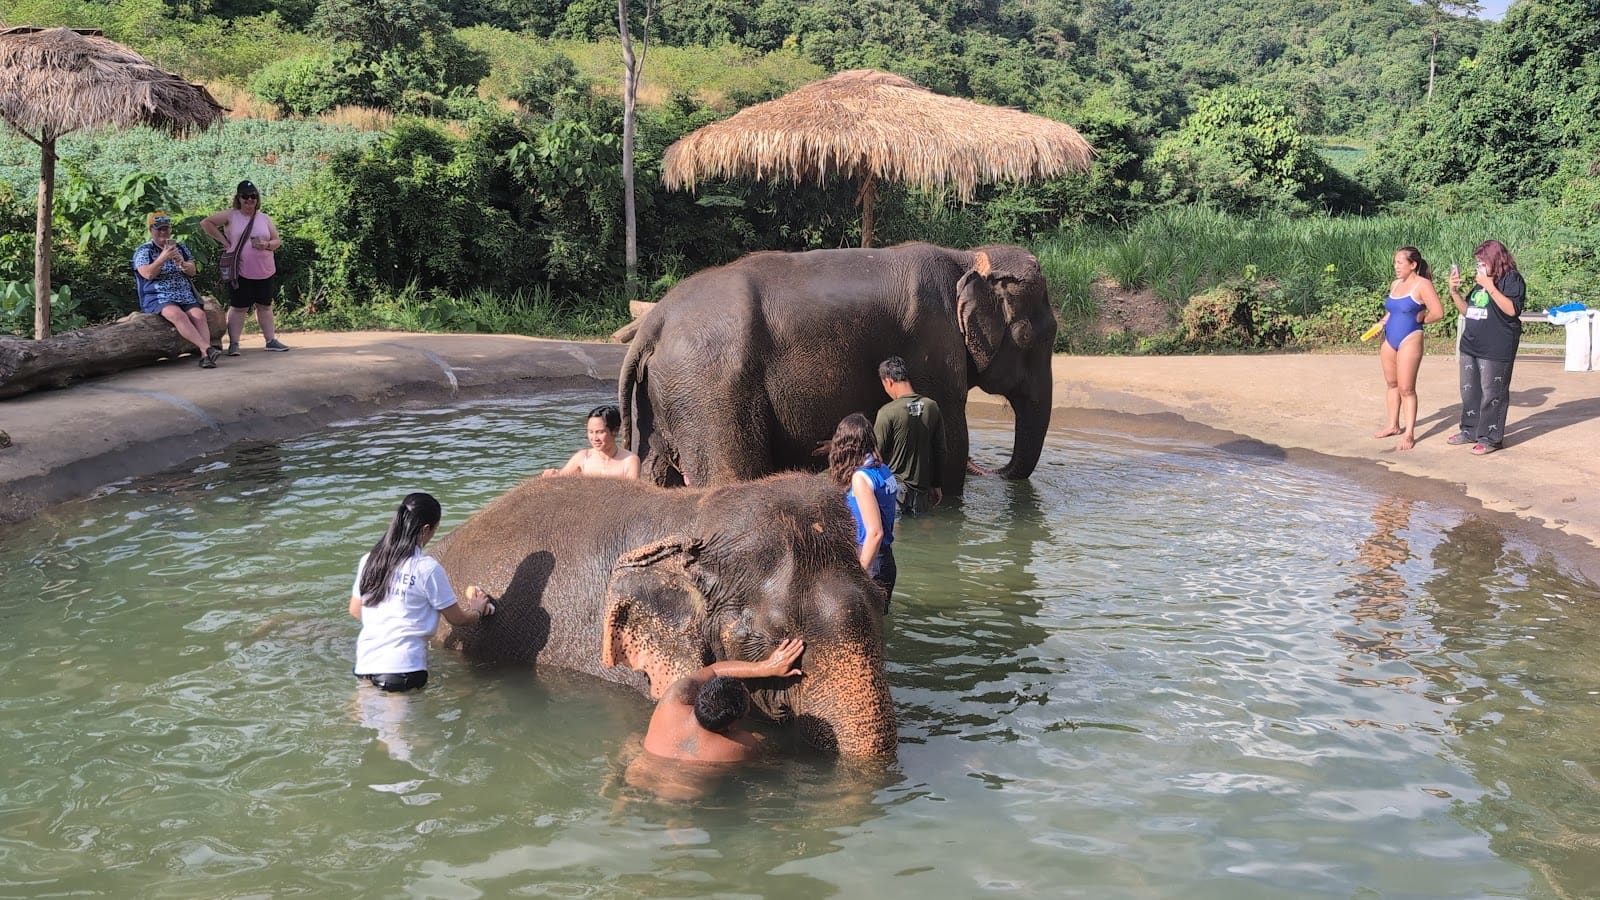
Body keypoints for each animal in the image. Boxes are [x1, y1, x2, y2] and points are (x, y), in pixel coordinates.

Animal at [618, 242, 1057, 494]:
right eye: (1041, 337)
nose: (991, 469)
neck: (965, 257)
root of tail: (653, 323)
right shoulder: (935, 347)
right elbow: (950, 445)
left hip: (668, 395)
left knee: (656, 471)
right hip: (711, 390)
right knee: (728, 473)